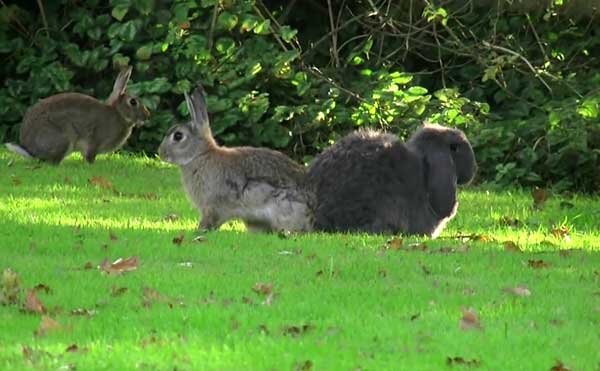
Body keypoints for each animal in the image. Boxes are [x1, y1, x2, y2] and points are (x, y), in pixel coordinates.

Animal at [5, 66, 150, 164]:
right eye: (133, 102)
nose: (147, 115)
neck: (119, 113)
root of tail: (30, 151)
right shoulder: (94, 142)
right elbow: (90, 156)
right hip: (63, 139)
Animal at [158, 85, 314, 234]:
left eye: (178, 136)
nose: (161, 153)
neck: (200, 155)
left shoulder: (212, 205)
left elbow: (210, 220)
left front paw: (200, 230)